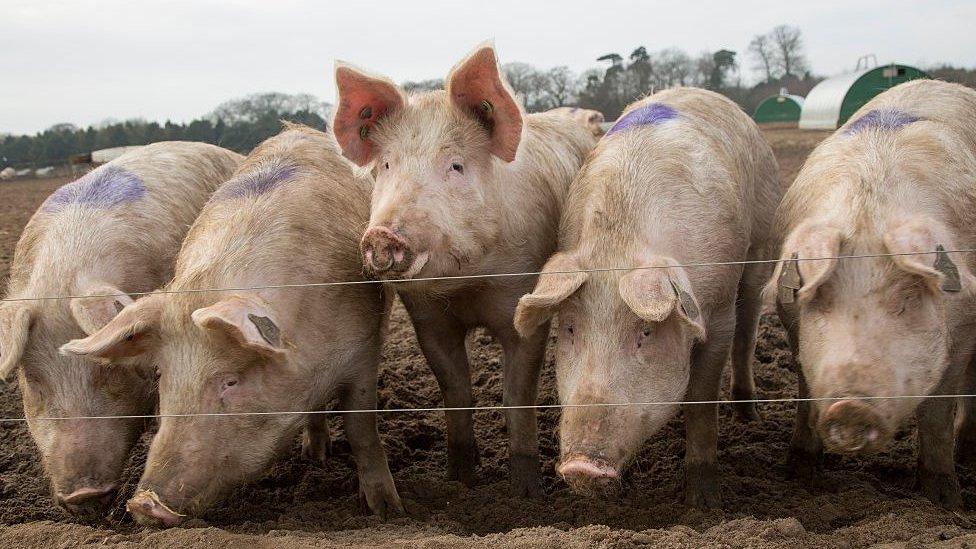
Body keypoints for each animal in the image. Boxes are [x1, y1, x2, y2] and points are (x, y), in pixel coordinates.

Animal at [59, 125, 402, 528]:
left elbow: (362, 428)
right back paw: (315, 456)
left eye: (230, 381)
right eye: (161, 376)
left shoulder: (364, 349)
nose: (144, 504)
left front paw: (388, 512)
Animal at [332, 42, 596, 494]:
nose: (381, 235)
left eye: (455, 166)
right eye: (386, 166)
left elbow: (516, 396)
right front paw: (459, 480)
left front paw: (527, 492)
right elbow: (455, 391)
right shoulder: (427, 319)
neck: (466, 283)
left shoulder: (522, 302)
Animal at [516, 89, 780, 506]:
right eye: (570, 328)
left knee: (749, 326)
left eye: (646, 332)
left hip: (761, 246)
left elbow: (701, 400)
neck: (621, 243)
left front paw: (703, 504)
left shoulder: (719, 309)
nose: (581, 467)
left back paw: (749, 415)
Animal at [764, 79, 976, 508]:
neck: (868, 207)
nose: (850, 409)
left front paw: (944, 503)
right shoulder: (794, 327)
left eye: (907, 299)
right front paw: (801, 476)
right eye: (821, 298)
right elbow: (805, 390)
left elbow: (937, 414)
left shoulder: (964, 330)